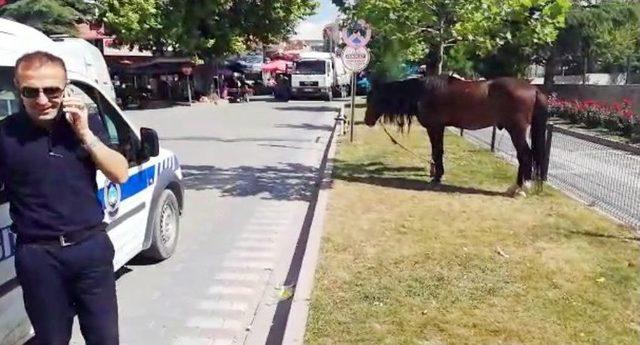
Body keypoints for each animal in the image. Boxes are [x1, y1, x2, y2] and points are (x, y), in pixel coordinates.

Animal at [364, 74, 552, 196]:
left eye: (372, 98)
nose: (367, 121)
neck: (423, 93)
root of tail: (533, 89)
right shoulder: (438, 127)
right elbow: (437, 151)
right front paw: (437, 175)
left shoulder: (435, 127)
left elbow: (437, 151)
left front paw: (436, 177)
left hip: (516, 130)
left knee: (525, 155)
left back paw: (521, 188)